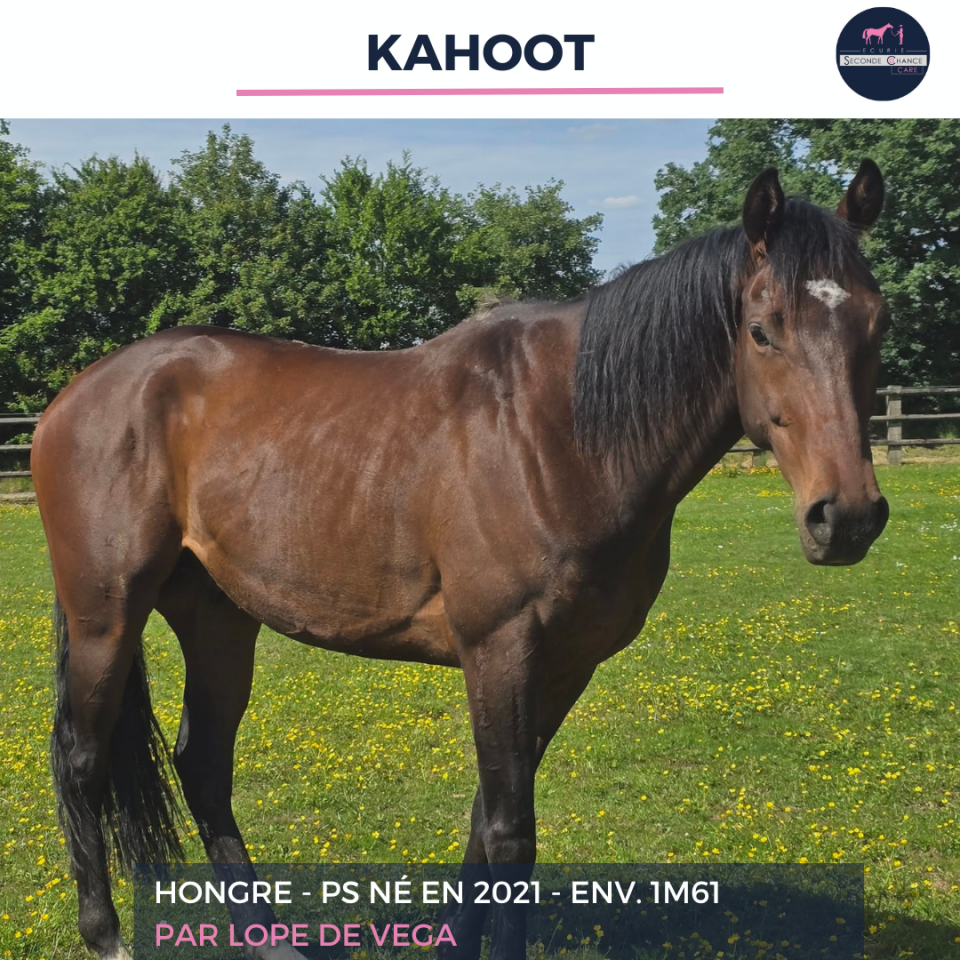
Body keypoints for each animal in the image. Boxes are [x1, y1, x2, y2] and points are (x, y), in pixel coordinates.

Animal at [33, 159, 889, 960]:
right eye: (763, 329)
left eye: (877, 325)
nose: (846, 517)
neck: (561, 434)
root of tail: (80, 393)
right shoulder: (500, 648)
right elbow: (512, 833)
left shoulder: (563, 665)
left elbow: (485, 821)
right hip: (107, 615)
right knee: (81, 759)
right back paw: (105, 933)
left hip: (218, 619)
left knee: (203, 767)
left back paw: (269, 936)